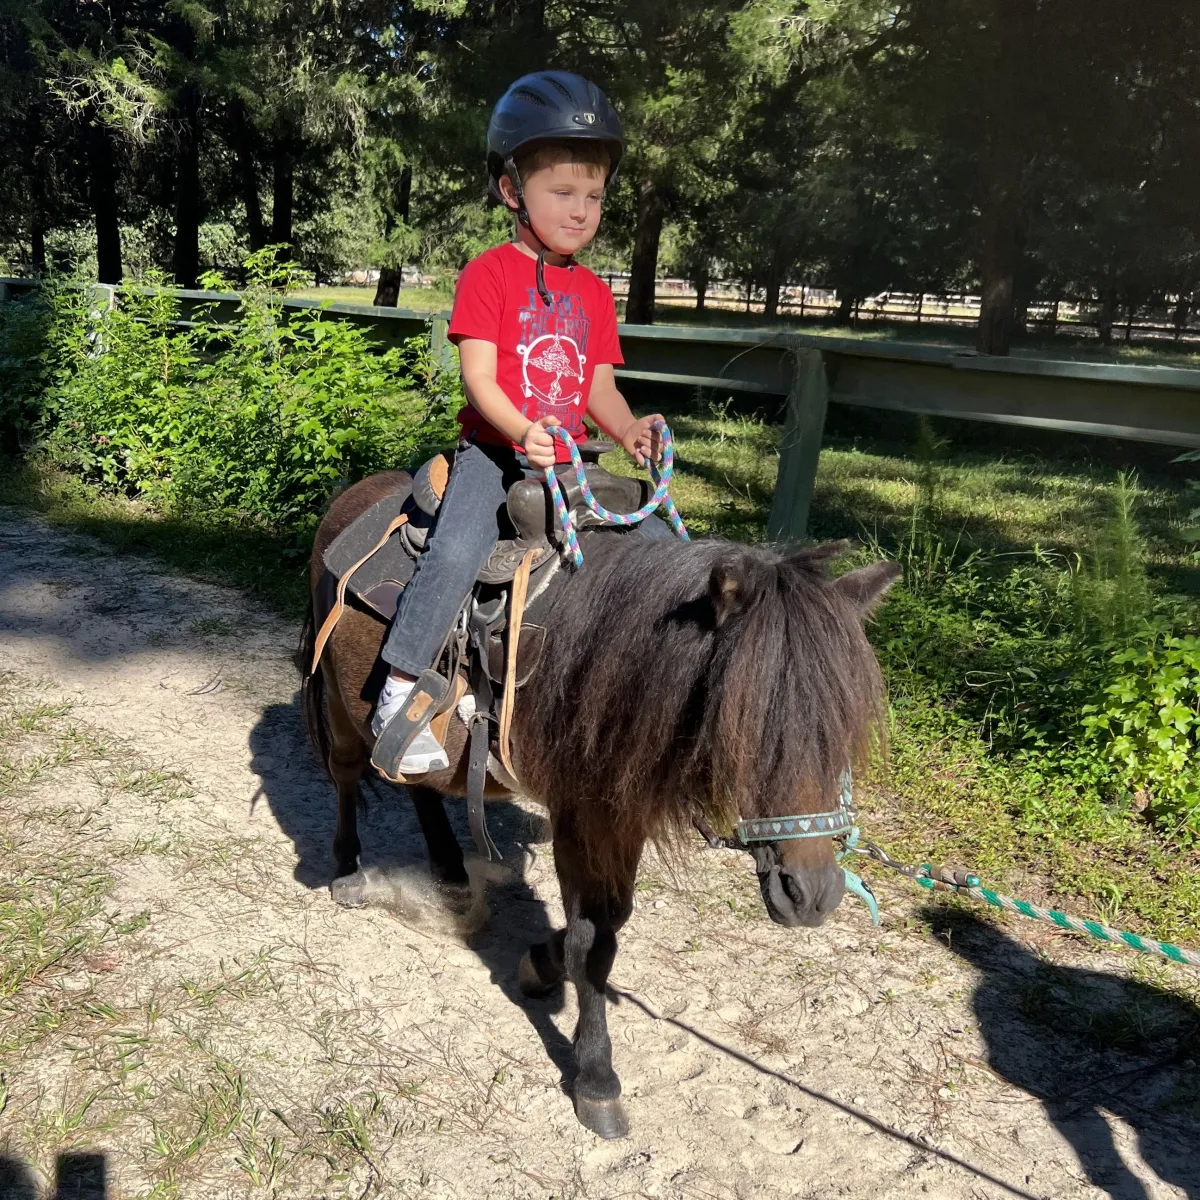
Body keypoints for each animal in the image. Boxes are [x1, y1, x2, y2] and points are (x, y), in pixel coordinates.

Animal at [300, 465, 902, 1132]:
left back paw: (452, 875)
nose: (813, 895)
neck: (612, 659)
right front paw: (595, 1075)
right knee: (348, 776)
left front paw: (542, 962)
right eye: (745, 725)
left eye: (841, 728)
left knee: (419, 788)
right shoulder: (582, 815)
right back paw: (350, 869)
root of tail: (353, 497)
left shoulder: (620, 813)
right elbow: (592, 943)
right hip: (341, 704)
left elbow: (607, 924)